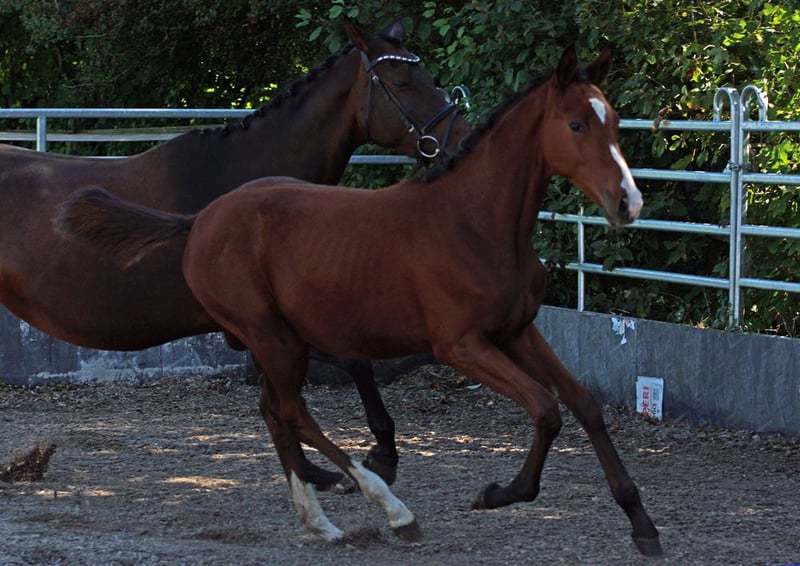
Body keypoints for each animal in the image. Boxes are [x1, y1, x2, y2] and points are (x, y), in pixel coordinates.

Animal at [0, 18, 471, 491]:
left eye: (431, 77)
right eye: (401, 81)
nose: (462, 143)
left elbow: (283, 405)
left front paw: (315, 473)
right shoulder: (259, 330)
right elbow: (349, 368)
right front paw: (381, 454)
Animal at [56, 46, 661, 556]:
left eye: (612, 121)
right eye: (576, 124)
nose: (628, 202)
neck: (475, 222)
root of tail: (200, 220)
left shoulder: (517, 330)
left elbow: (583, 404)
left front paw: (642, 525)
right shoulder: (461, 346)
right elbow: (545, 408)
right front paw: (499, 493)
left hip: (282, 339)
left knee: (276, 412)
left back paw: (321, 522)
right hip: (272, 337)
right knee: (293, 413)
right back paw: (392, 510)